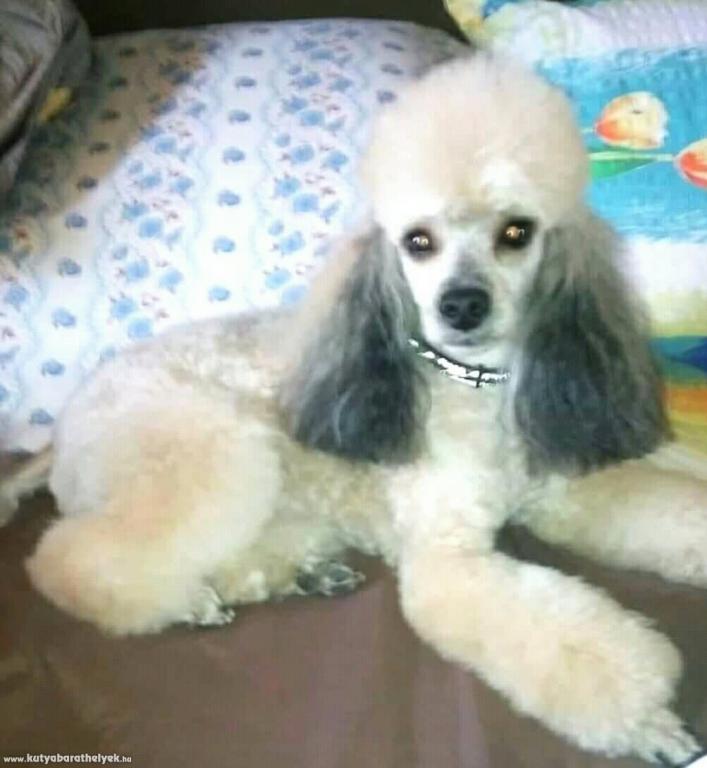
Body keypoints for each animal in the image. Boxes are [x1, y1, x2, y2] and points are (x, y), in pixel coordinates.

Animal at [2, 54, 707, 765]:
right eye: (417, 242)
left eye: (516, 232)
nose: (462, 304)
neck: (472, 387)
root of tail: (63, 430)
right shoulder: (446, 560)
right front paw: (643, 717)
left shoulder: (561, 498)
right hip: (215, 455)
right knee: (73, 561)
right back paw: (186, 602)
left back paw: (295, 577)